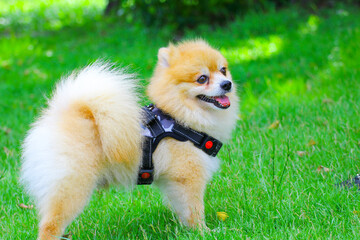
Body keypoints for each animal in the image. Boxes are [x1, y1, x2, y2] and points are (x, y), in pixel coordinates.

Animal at [21, 39, 238, 238]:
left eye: (223, 70)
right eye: (202, 78)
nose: (227, 84)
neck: (180, 117)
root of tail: (62, 115)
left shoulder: (173, 182)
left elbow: (182, 209)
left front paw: (188, 230)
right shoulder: (189, 177)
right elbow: (194, 209)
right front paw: (204, 232)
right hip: (73, 186)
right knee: (50, 225)